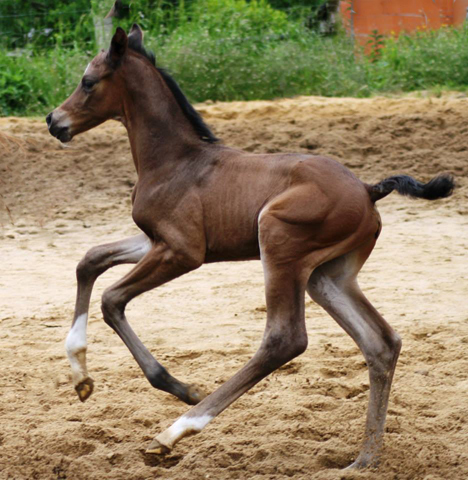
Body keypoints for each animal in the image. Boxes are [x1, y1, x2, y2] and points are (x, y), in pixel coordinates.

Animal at [46, 24, 454, 466]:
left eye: (88, 82)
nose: (54, 121)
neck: (174, 160)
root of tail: (368, 188)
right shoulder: (153, 240)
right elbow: (90, 260)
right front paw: (82, 380)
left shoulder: (183, 251)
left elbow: (112, 298)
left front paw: (179, 387)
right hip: (327, 274)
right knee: (381, 342)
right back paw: (364, 459)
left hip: (277, 242)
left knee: (284, 339)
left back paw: (174, 432)